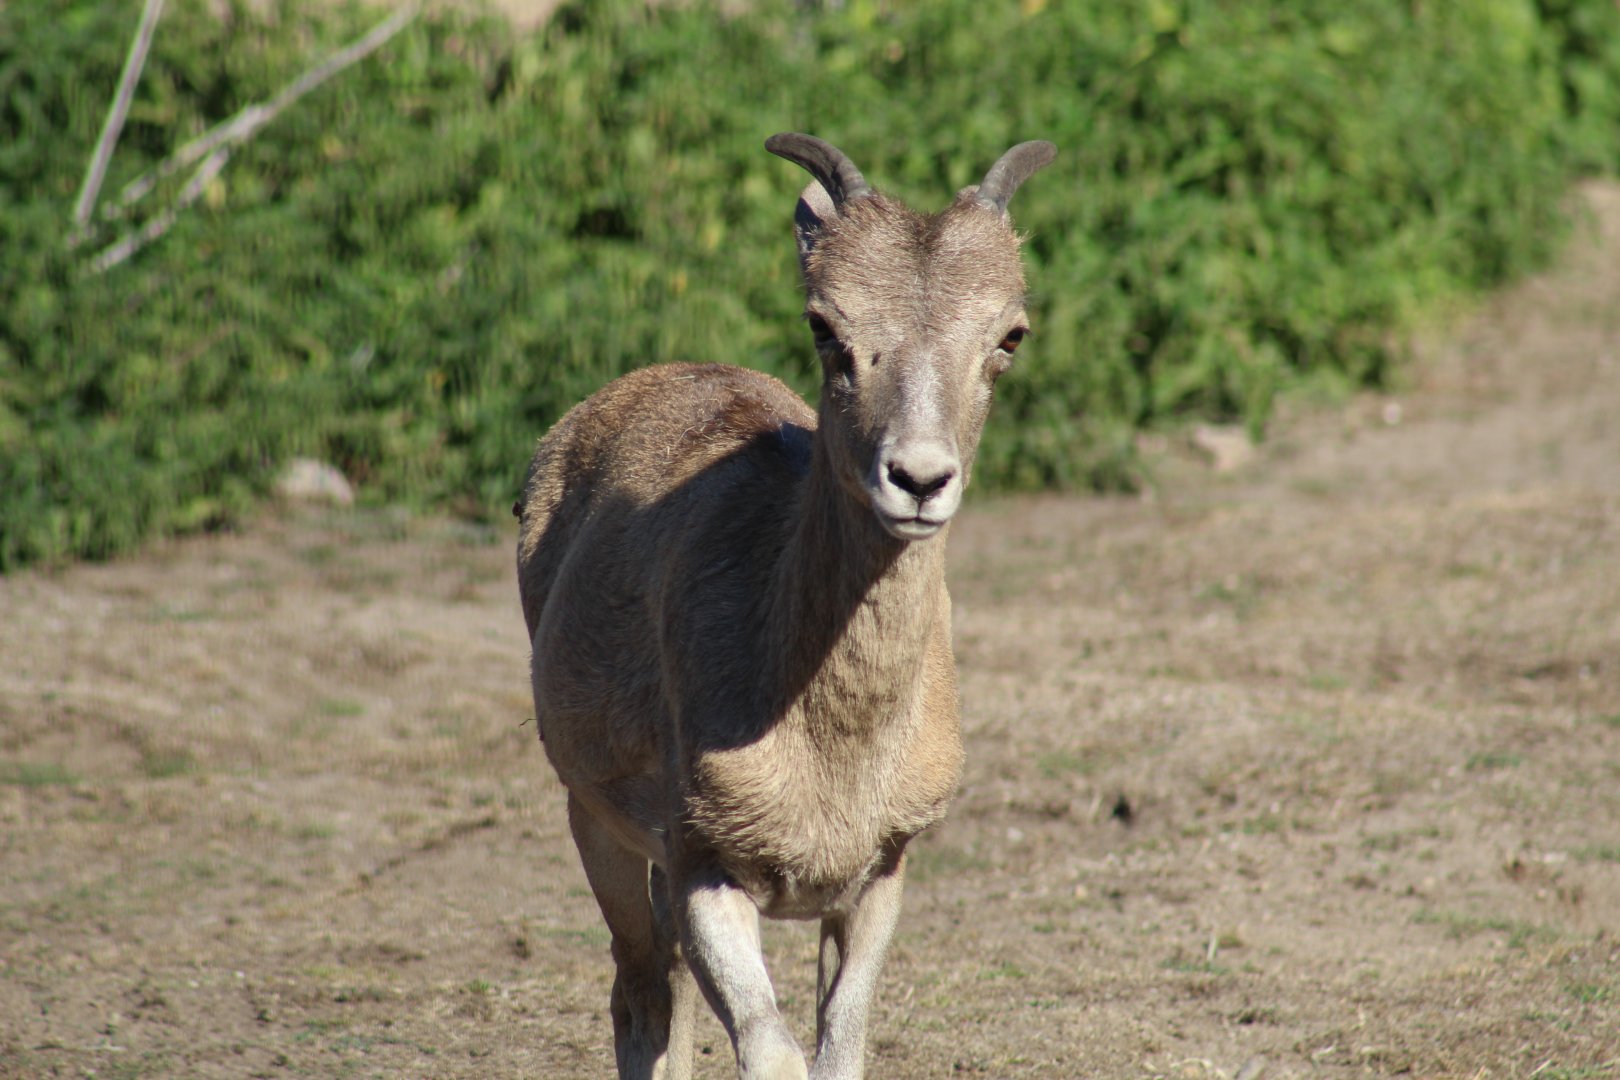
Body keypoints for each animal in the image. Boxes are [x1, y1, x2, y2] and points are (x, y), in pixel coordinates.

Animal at [515, 132, 1055, 1080]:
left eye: (1010, 335)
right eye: (825, 328)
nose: (919, 479)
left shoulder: (878, 879)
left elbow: (840, 1040)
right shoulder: (705, 867)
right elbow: (770, 1050)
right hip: (597, 826)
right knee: (639, 989)